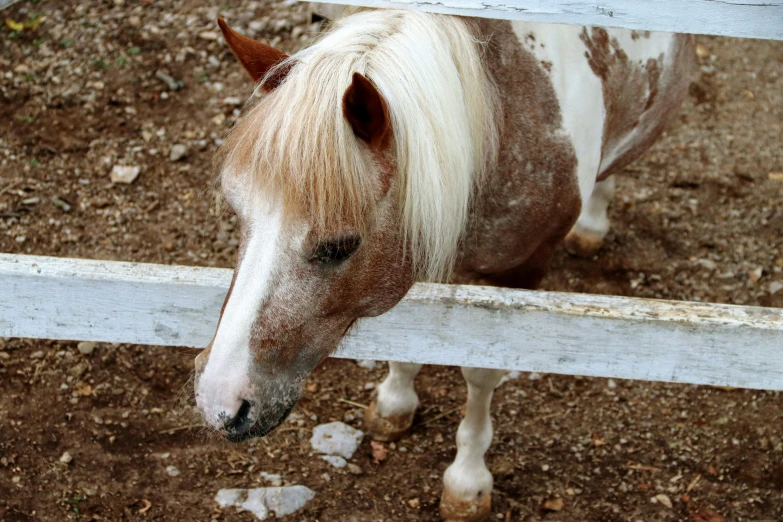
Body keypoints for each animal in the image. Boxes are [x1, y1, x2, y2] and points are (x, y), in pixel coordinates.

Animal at [194, 10, 692, 516]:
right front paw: (395, 402)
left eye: (340, 246)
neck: (501, 125)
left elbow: (480, 373)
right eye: (238, 211)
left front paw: (467, 482)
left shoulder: (517, 275)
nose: (220, 400)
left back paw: (592, 223)